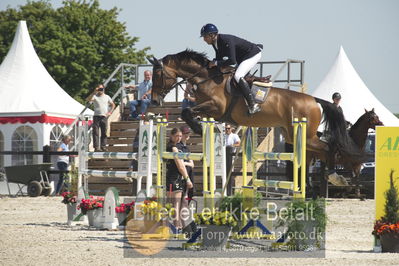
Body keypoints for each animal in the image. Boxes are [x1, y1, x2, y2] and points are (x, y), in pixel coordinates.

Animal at [148, 50, 368, 187]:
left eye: (158, 75)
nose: (154, 100)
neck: (207, 78)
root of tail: (314, 99)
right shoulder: (209, 111)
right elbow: (188, 112)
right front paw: (199, 128)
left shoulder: (216, 107)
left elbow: (186, 112)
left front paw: (197, 129)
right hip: (294, 135)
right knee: (318, 151)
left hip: (305, 134)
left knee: (329, 148)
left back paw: (333, 176)